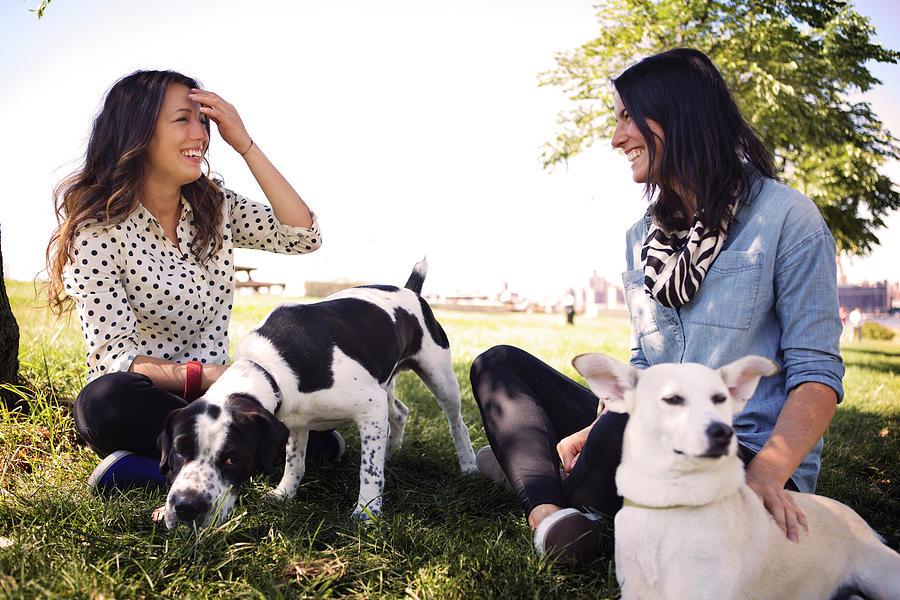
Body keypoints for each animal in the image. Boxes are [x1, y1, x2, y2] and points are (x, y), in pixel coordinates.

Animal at [159, 260, 478, 528]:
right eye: (179, 450)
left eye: (232, 458)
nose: (185, 507)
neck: (268, 368)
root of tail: (410, 289)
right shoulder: (295, 422)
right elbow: (295, 463)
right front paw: (284, 494)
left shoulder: (370, 407)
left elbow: (369, 470)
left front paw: (367, 512)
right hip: (385, 381)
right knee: (400, 412)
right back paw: (392, 450)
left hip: (439, 378)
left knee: (457, 423)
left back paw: (468, 465)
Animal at [572, 352, 900, 600]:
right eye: (673, 399)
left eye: (720, 399)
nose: (723, 432)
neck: (670, 505)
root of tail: (860, 521)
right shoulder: (635, 592)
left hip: (885, 579)